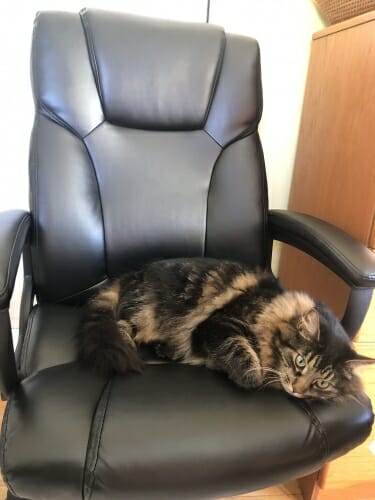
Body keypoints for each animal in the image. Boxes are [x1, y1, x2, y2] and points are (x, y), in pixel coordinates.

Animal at [78, 260, 374, 400]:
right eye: (300, 361)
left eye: (322, 382)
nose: (297, 390)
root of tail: (132, 274)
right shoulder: (217, 325)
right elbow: (245, 359)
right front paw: (247, 375)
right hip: (144, 315)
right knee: (121, 327)